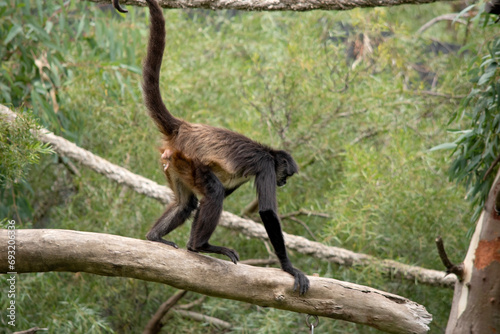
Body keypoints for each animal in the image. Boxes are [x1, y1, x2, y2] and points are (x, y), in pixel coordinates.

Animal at [113, 0, 308, 294]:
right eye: (285, 175)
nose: (284, 183)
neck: (268, 152)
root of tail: (185, 127)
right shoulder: (265, 166)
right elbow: (265, 211)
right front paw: (288, 267)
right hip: (189, 160)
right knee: (213, 192)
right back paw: (200, 246)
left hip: (174, 163)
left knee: (187, 203)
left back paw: (157, 237)